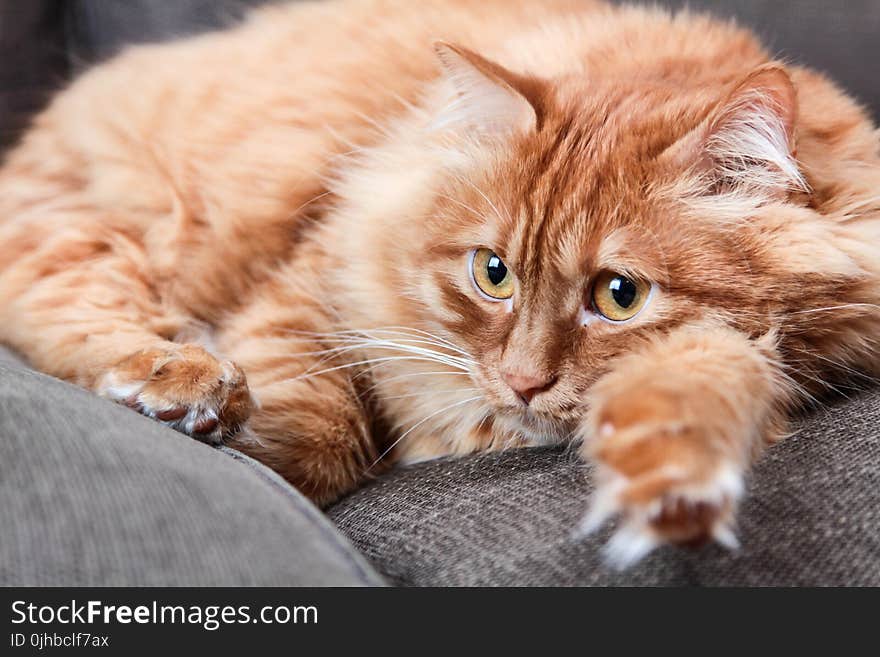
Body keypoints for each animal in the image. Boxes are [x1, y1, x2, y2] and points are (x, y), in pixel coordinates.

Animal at [1, 0, 880, 568]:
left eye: (618, 296)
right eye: (493, 274)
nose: (523, 383)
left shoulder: (758, 349)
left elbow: (696, 388)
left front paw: (666, 482)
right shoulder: (317, 276)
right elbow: (321, 426)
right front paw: (257, 447)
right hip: (89, 236)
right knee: (76, 320)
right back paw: (184, 385)